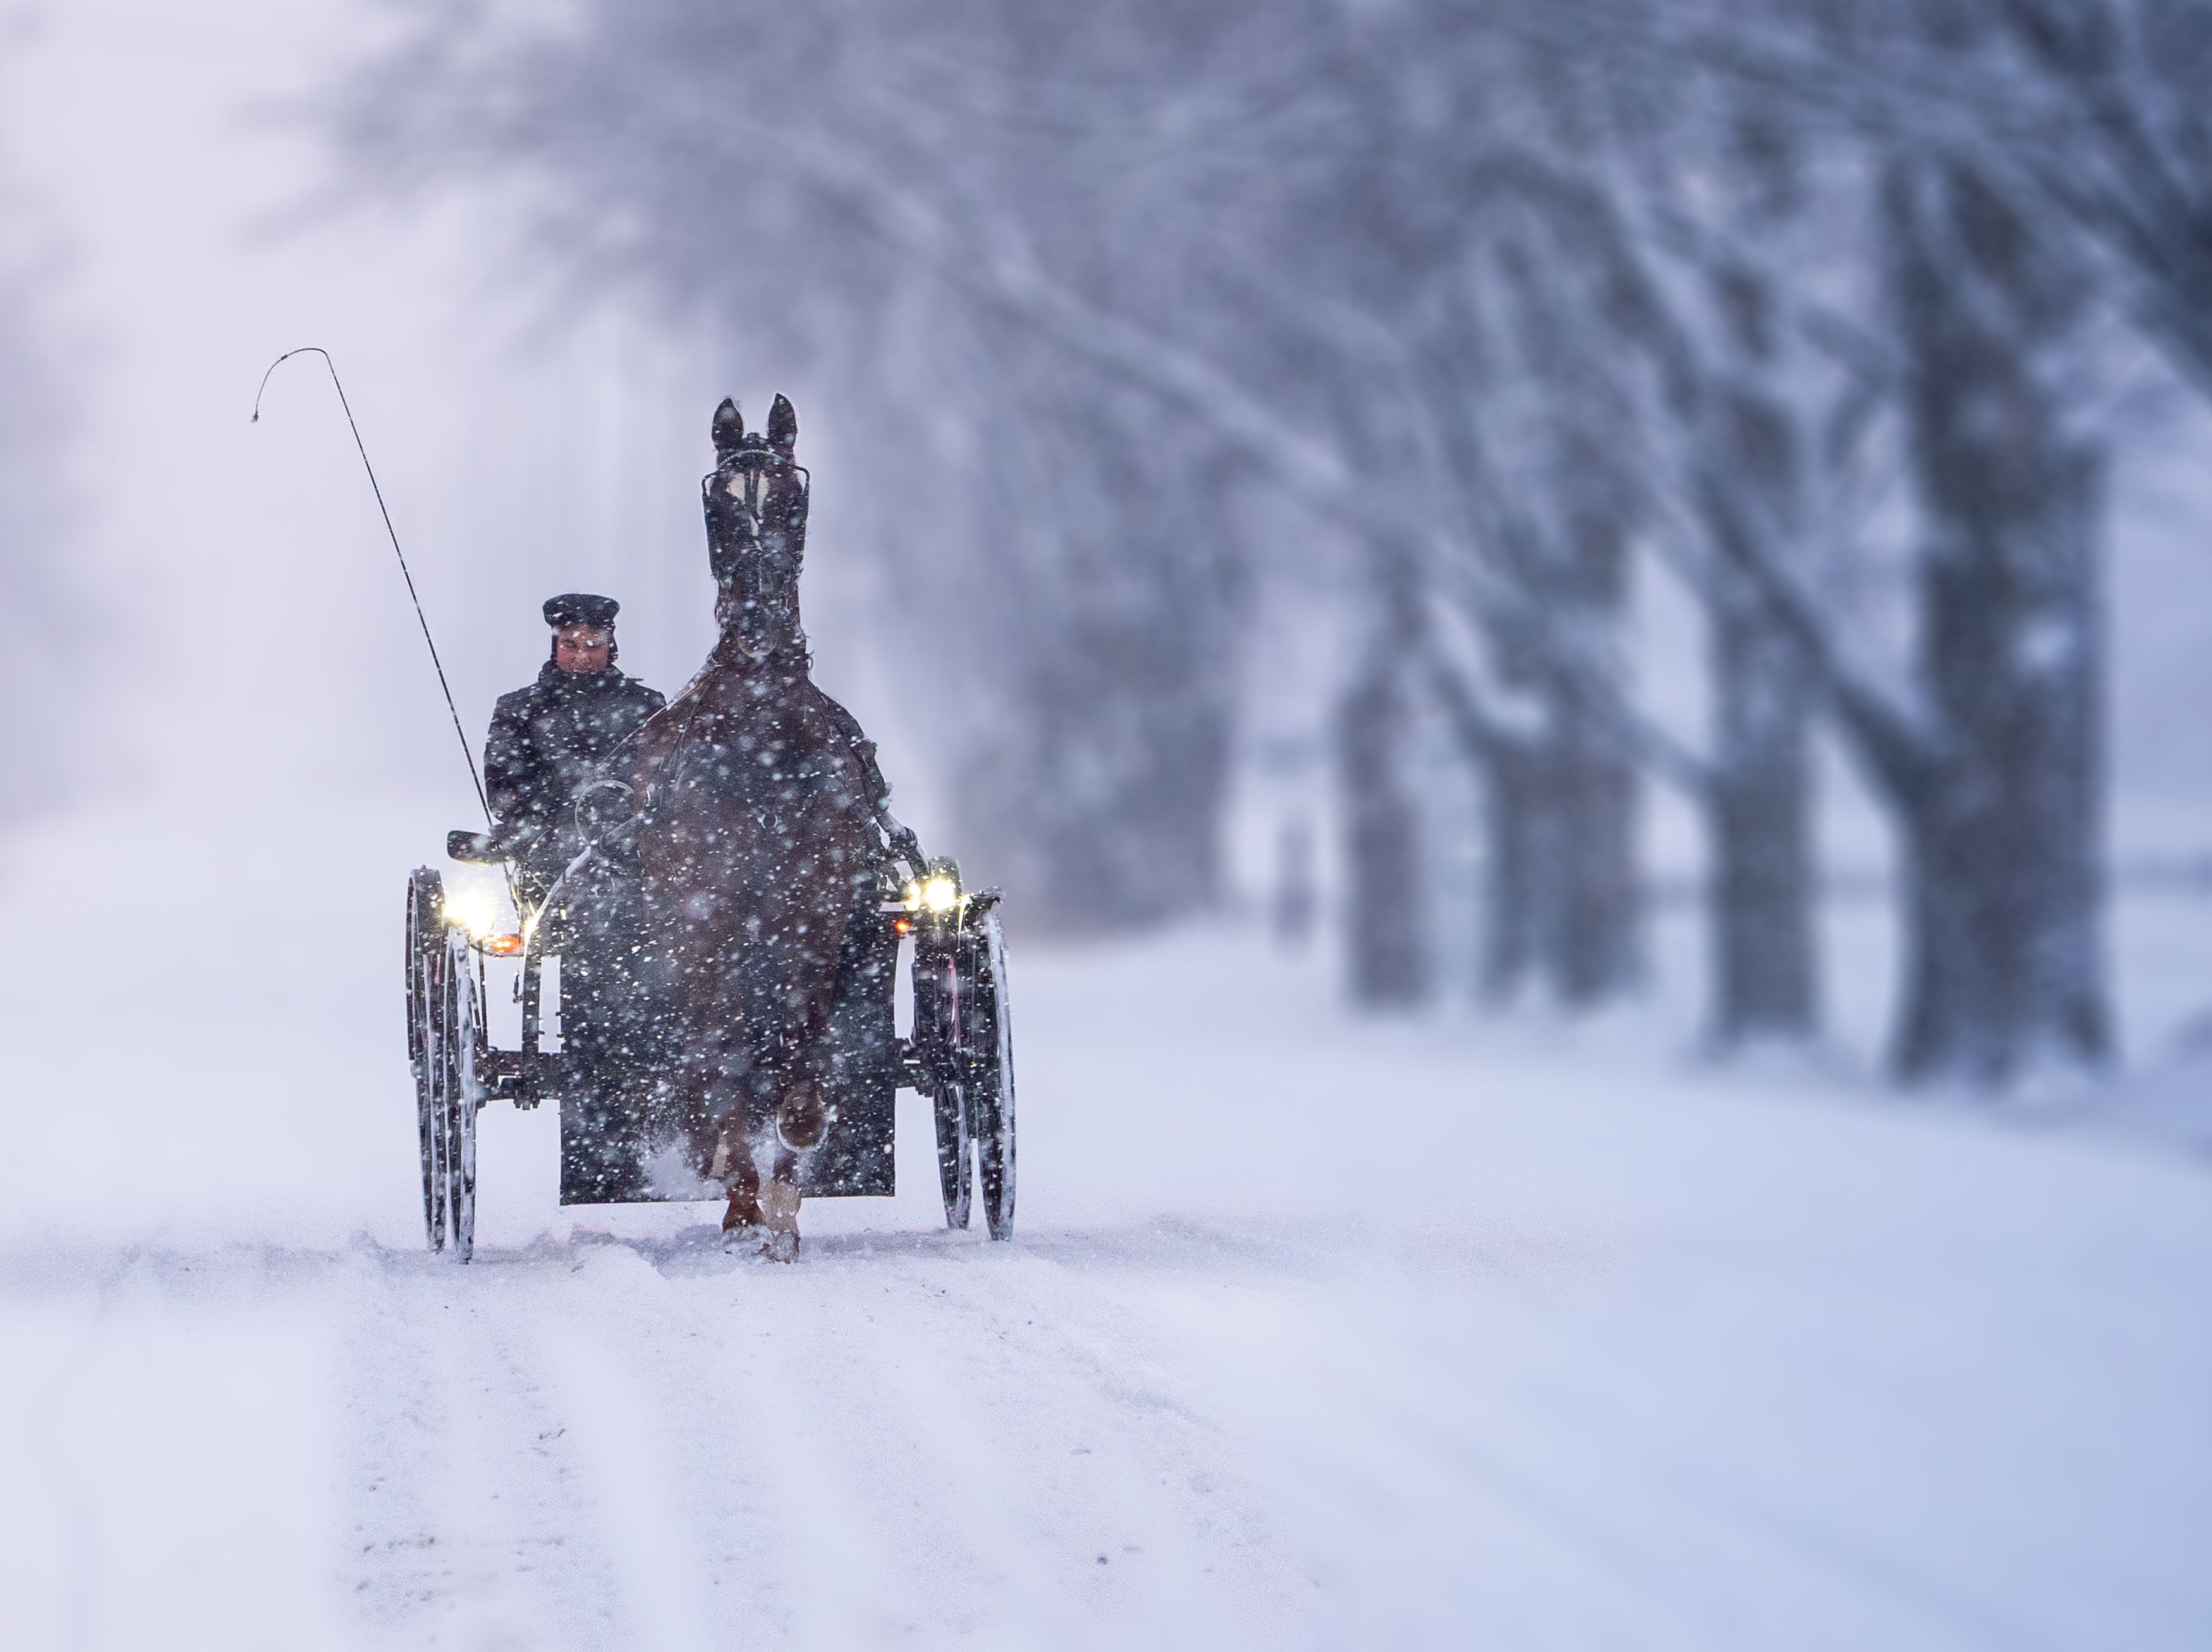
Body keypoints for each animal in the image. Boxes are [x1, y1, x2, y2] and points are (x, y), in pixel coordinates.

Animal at [624, 393, 889, 1256]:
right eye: (718, 507)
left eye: (791, 501)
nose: (761, 625)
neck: (762, 736)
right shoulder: (704, 923)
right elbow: (725, 1063)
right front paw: (743, 1201)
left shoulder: (816, 919)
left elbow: (798, 1063)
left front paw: (784, 1200)